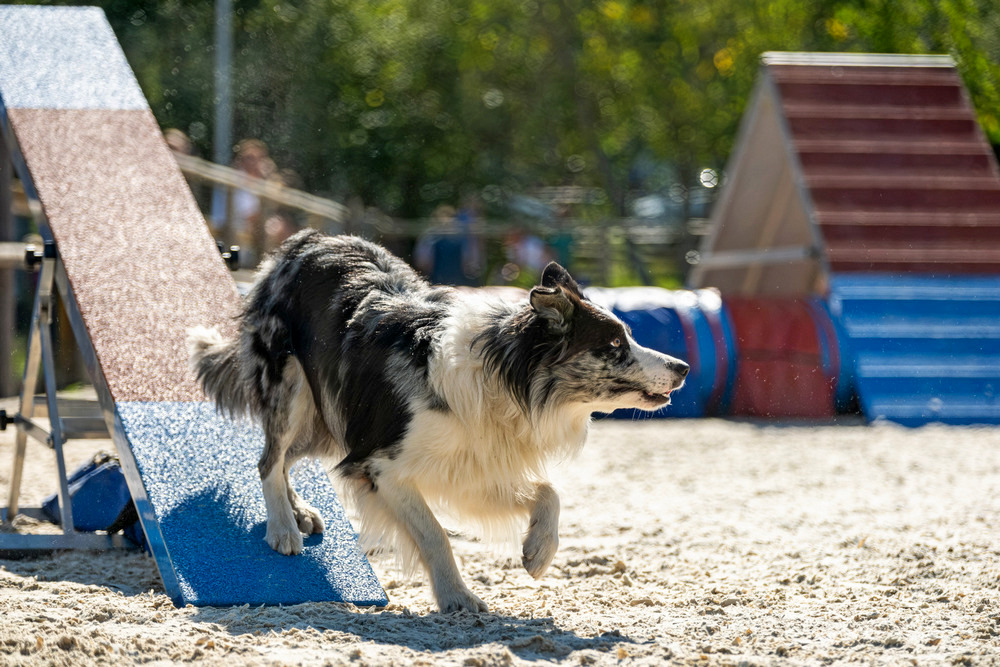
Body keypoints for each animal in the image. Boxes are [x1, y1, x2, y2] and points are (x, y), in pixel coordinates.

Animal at [188, 232, 688, 612]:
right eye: (614, 344)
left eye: (629, 336)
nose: (683, 367)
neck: (505, 380)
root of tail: (301, 241)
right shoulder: (381, 464)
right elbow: (434, 535)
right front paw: (458, 598)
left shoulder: (470, 462)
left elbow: (548, 492)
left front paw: (538, 552)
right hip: (292, 388)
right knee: (268, 459)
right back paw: (282, 528)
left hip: (333, 421)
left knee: (285, 457)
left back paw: (299, 511)